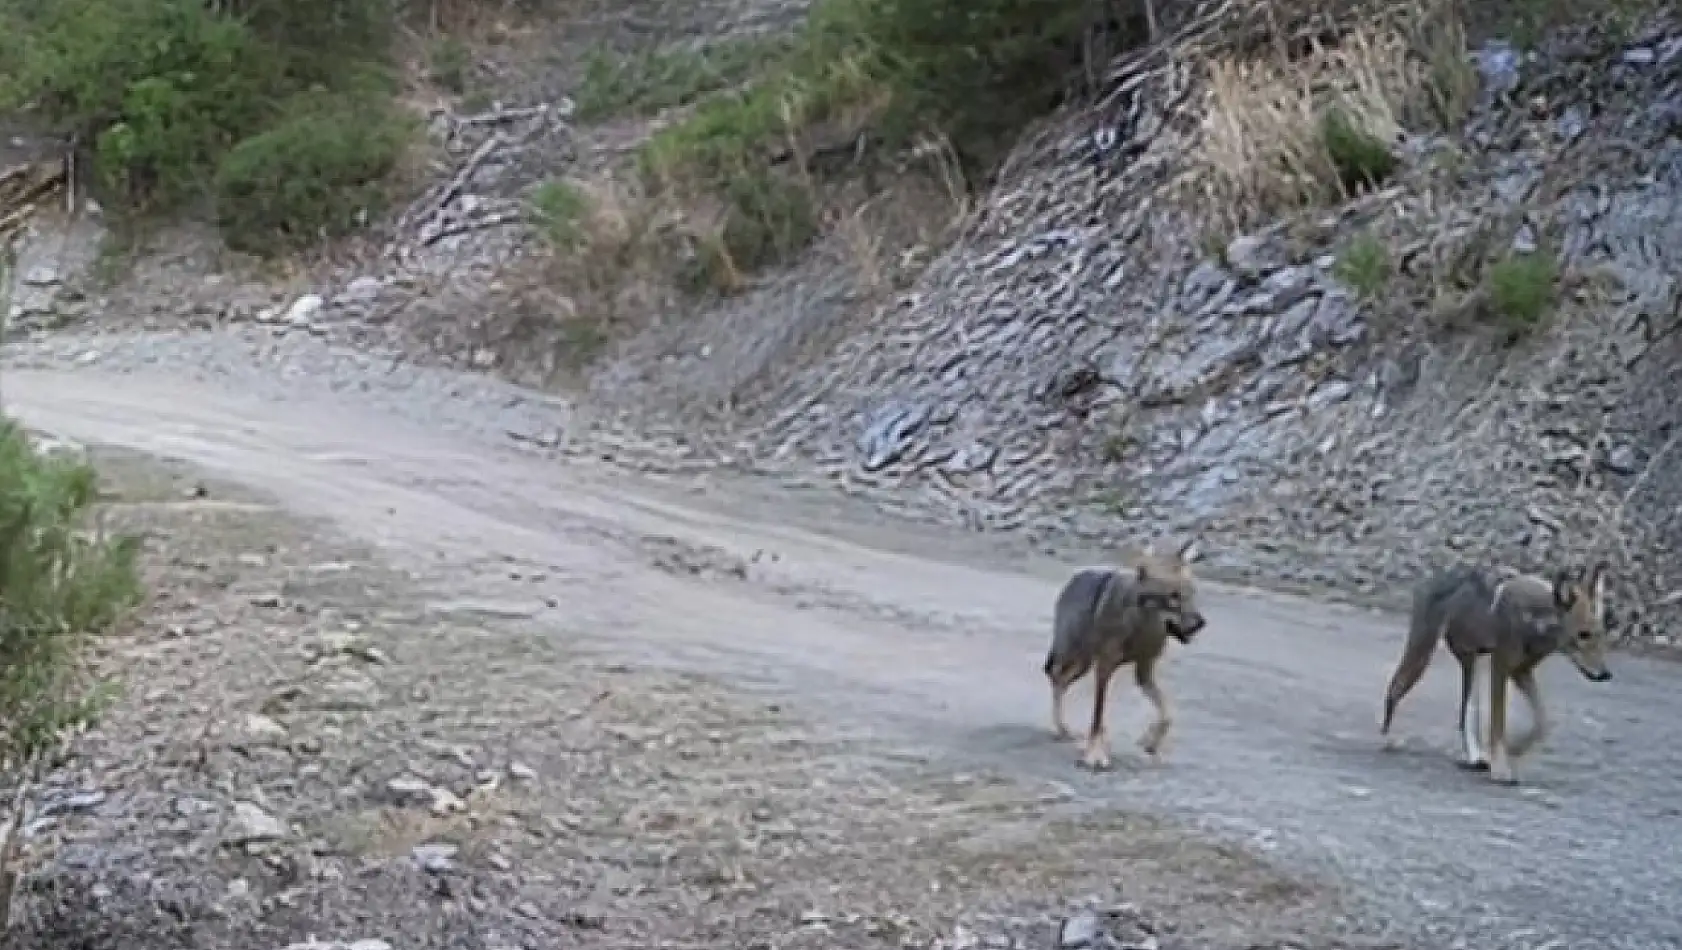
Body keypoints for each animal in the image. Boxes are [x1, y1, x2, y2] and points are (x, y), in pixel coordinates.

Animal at [1042, 538, 1204, 766]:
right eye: (1173, 597)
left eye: (1192, 594)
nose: (1200, 623)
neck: (1141, 630)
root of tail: (1076, 577)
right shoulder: (1104, 668)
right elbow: (1098, 714)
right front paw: (1095, 754)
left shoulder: (1144, 672)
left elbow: (1167, 714)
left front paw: (1150, 742)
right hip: (1073, 656)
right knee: (1054, 676)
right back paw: (1062, 729)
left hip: (1083, 664)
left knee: (1061, 681)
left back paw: (1067, 730)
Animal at [1379, 561, 1614, 786]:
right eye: (1583, 635)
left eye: (1601, 634)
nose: (1605, 674)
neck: (1533, 618)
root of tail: (1433, 575)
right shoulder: (1501, 667)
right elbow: (1497, 725)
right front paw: (1501, 770)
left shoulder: (1521, 671)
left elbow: (1541, 724)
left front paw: (1514, 750)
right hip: (1422, 655)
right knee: (1394, 688)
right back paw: (1388, 740)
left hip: (1473, 664)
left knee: (1465, 716)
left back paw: (1476, 759)